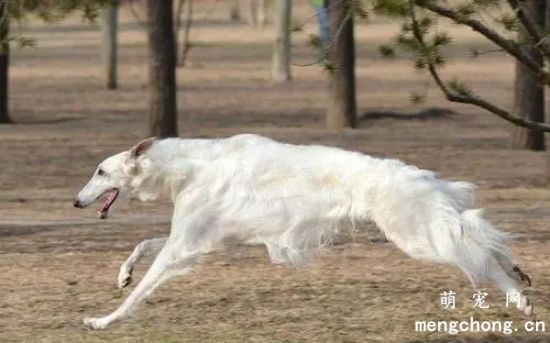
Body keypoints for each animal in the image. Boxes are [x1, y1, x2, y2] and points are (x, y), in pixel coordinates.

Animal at [73, 134, 536, 330]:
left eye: (100, 171)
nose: (76, 202)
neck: (190, 165)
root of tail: (419, 176)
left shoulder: (184, 245)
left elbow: (140, 291)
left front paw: (102, 320)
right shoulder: (203, 241)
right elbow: (142, 246)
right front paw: (123, 274)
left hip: (418, 238)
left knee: (480, 256)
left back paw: (519, 298)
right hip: (427, 228)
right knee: (484, 243)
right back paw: (519, 278)